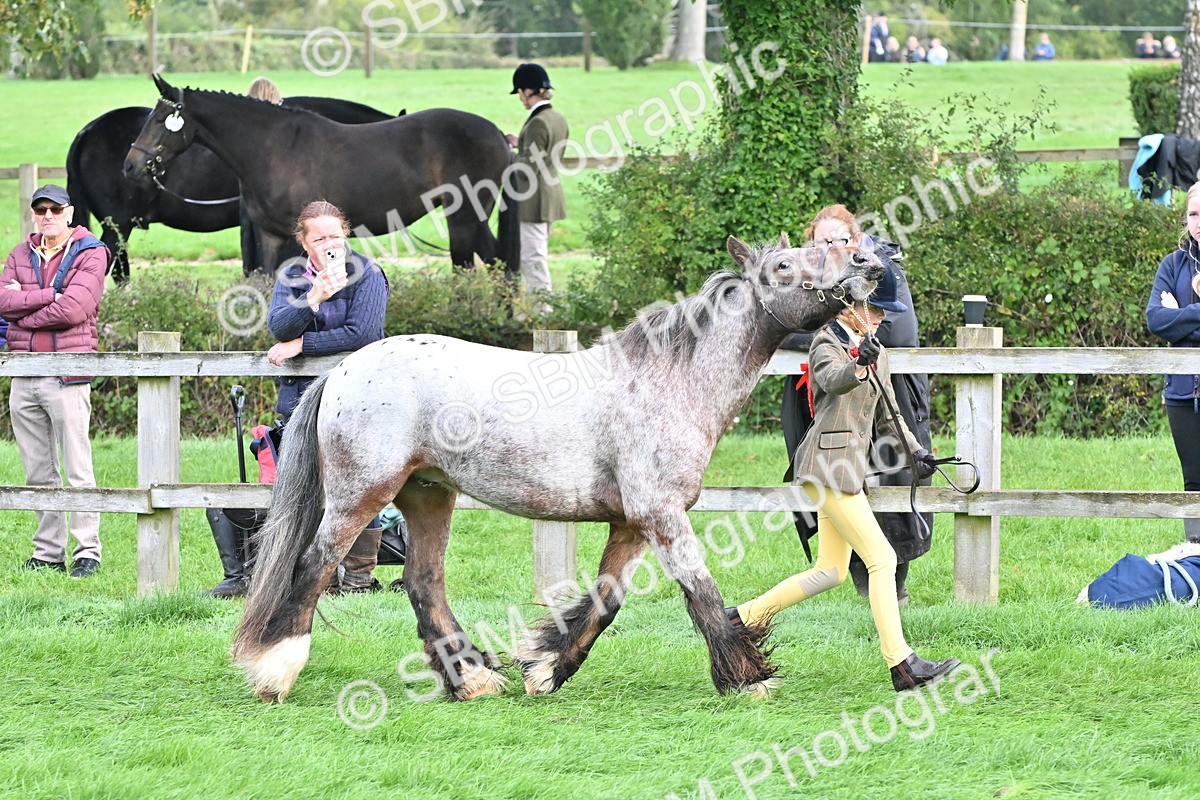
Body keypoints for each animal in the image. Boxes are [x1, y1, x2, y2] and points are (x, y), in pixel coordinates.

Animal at [124, 75, 520, 278]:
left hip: (463, 217)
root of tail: (499, 135)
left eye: (160, 119)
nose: (130, 165)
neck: (273, 146)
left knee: (473, 267)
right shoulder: (269, 235)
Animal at [230, 234, 884, 703]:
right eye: (785, 266)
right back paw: (276, 673)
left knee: (423, 581)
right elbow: (701, 590)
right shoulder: (661, 515)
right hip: (360, 496)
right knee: (315, 567)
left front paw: (544, 671)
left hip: (427, 494)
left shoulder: (630, 524)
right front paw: (749, 677)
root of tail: (342, 371)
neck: (669, 380)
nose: (870, 266)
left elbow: (605, 602)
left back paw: (472, 679)